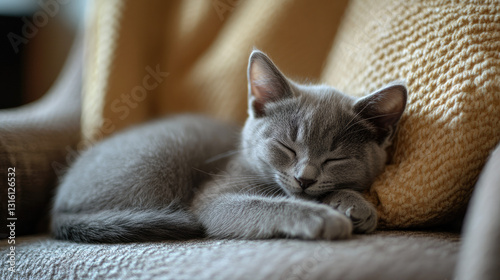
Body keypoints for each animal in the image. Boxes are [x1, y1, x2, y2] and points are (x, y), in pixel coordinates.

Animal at [52, 50, 408, 243]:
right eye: (286, 147)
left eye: (335, 158)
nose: (304, 178)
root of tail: (58, 208)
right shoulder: (212, 199)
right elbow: (264, 205)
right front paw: (322, 217)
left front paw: (356, 205)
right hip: (158, 163)